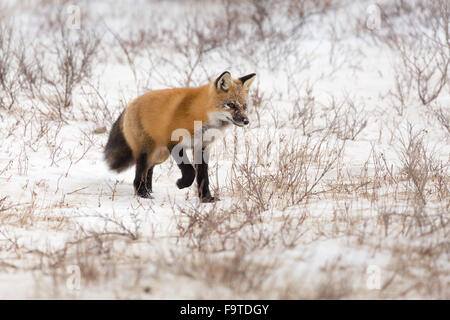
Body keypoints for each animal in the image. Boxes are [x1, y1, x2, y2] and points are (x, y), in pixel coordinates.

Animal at [103, 71, 255, 201]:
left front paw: (206, 199)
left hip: (160, 155)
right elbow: (190, 171)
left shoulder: (202, 147)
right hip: (147, 152)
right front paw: (181, 184)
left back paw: (149, 190)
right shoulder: (174, 143)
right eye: (230, 105)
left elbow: (203, 177)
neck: (201, 115)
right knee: (140, 172)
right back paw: (143, 194)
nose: (246, 121)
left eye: (244, 106)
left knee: (149, 169)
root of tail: (131, 103)